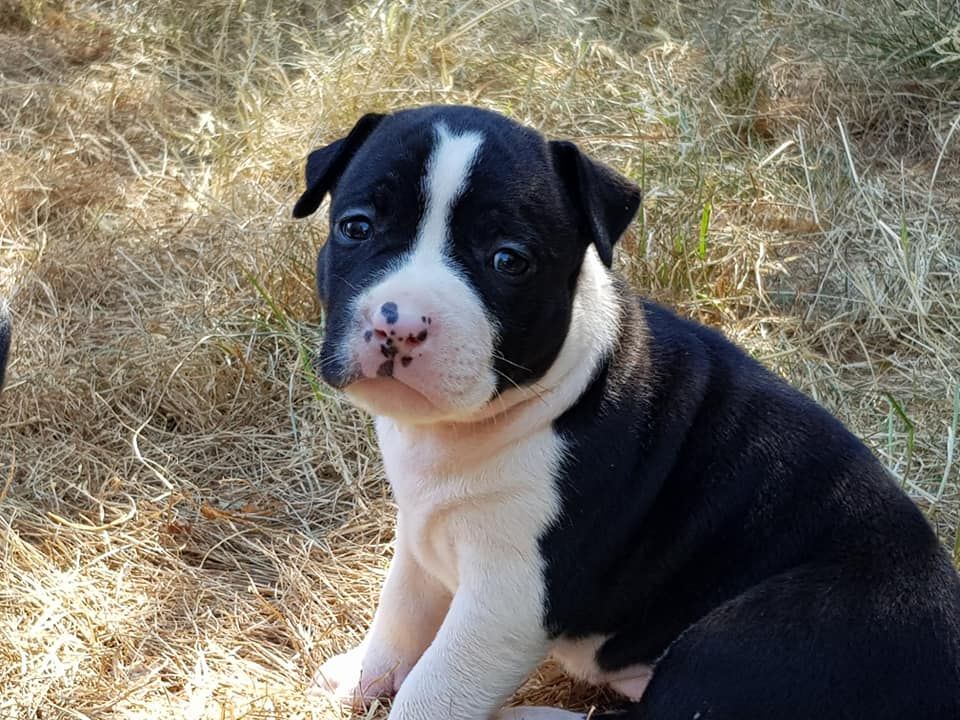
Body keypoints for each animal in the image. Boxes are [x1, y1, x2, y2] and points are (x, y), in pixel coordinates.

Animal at [293, 105, 960, 720]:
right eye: (355, 227)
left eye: (509, 260)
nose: (399, 323)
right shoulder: (421, 527)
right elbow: (401, 610)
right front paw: (363, 676)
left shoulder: (507, 598)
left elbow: (435, 688)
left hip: (756, 640)